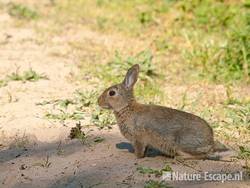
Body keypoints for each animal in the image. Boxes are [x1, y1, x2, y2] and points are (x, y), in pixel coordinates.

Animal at [98, 64, 227, 159]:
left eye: (112, 93)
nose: (98, 101)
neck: (127, 107)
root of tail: (210, 141)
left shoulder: (139, 138)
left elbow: (139, 151)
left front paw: (134, 156)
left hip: (183, 143)